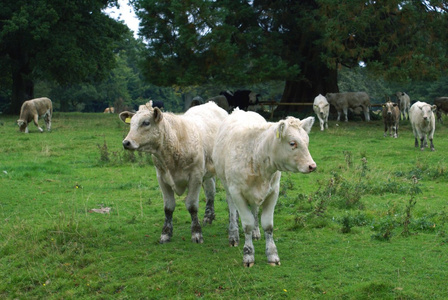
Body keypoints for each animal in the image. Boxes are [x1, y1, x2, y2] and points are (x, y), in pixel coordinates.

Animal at [119, 102, 228, 243]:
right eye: (131, 123)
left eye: (146, 123)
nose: (126, 142)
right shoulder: (162, 178)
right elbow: (168, 207)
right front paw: (166, 233)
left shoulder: (195, 176)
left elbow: (192, 206)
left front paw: (196, 233)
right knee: (210, 191)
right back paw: (208, 217)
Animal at [213, 108, 316, 268]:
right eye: (292, 143)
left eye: (307, 141)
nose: (312, 166)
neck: (256, 155)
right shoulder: (237, 192)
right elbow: (247, 224)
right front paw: (248, 255)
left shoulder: (273, 192)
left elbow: (268, 225)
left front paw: (272, 254)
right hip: (226, 184)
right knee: (232, 209)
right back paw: (233, 235)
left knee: (255, 209)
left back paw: (256, 232)